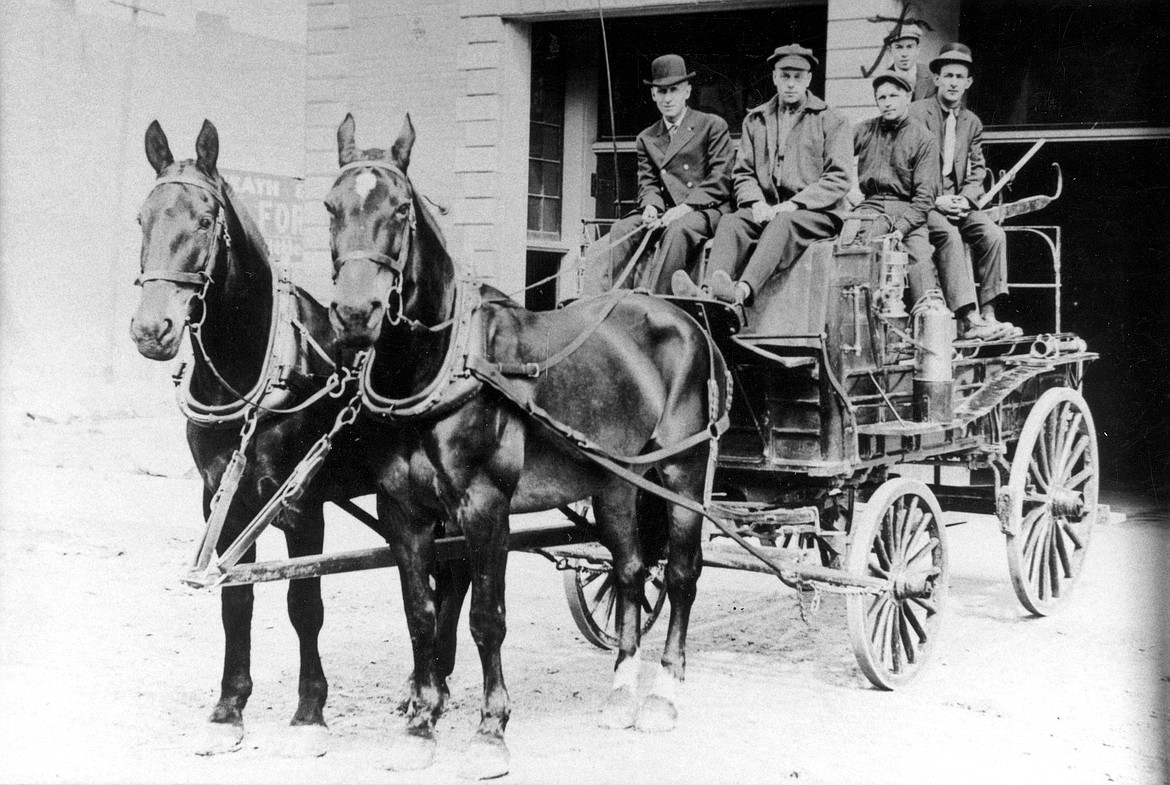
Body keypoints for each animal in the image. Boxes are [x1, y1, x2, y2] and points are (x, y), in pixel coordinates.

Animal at [130, 121, 467, 753]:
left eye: (206, 219)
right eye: (143, 217)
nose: (150, 329)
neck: (258, 370)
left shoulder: (300, 503)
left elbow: (303, 601)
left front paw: (310, 710)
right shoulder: (223, 498)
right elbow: (236, 599)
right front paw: (229, 706)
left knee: (453, 575)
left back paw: (435, 678)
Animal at [325, 113, 725, 776]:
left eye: (402, 209)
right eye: (331, 207)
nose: (356, 313)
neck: (439, 366)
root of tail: (685, 317)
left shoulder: (486, 508)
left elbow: (487, 617)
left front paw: (490, 730)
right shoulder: (403, 510)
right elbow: (420, 615)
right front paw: (420, 726)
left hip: (681, 475)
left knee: (682, 574)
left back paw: (664, 695)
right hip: (616, 482)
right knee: (630, 570)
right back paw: (621, 691)